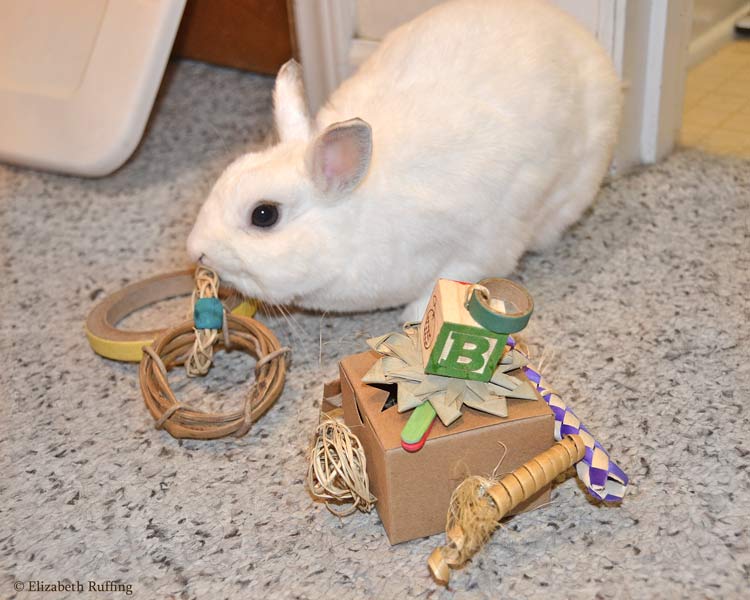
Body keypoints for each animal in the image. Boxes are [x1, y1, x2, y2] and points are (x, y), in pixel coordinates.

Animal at [187, 0, 624, 322]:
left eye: (264, 215)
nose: (197, 252)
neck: (355, 217)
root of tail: (577, 32)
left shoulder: (477, 246)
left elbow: (450, 279)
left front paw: (414, 318)